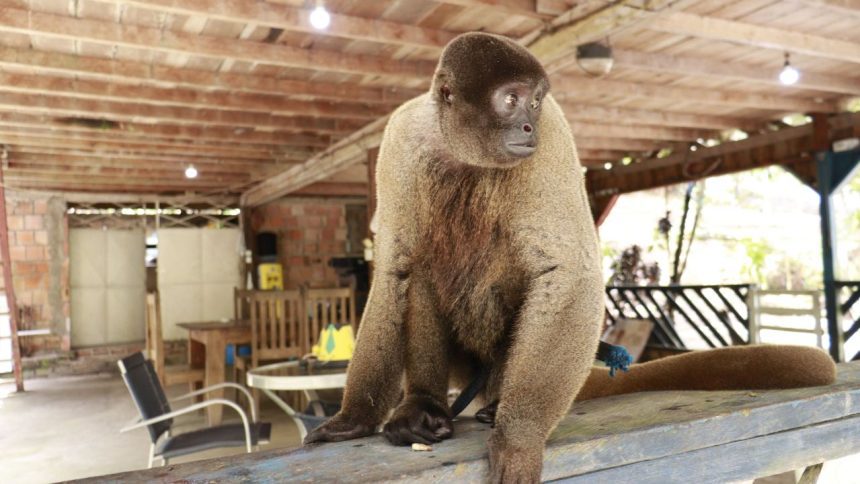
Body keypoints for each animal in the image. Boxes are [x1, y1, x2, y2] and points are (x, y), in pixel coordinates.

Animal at [303, 32, 837, 483]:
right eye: (511, 98)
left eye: (536, 102)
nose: (526, 125)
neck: (462, 150)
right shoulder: (401, 141)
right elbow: (395, 268)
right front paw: (353, 418)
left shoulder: (553, 134)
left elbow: (568, 272)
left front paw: (518, 439)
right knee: (423, 272)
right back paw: (423, 408)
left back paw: (497, 409)